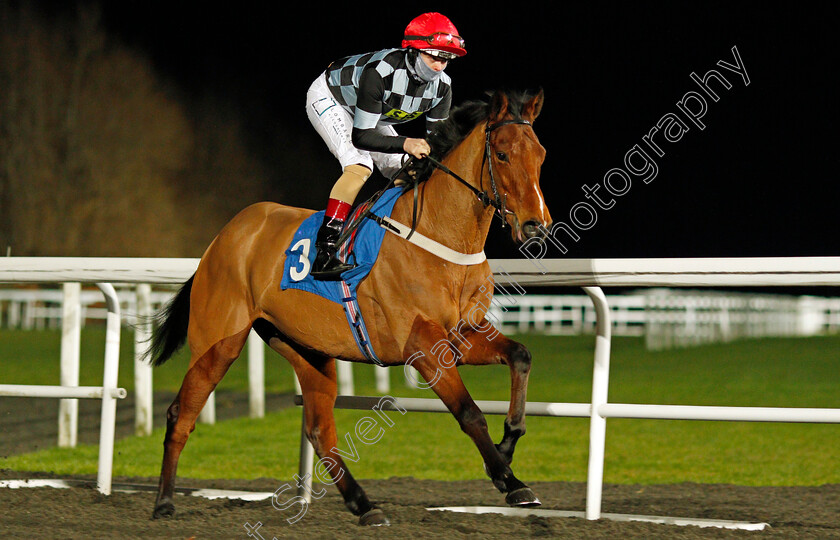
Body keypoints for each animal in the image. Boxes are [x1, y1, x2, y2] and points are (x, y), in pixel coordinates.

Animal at [148, 89, 556, 528]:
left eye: (541, 154)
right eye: (501, 154)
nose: (535, 225)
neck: (440, 235)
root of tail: (225, 235)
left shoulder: (461, 336)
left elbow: (521, 355)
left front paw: (509, 442)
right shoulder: (423, 346)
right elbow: (469, 412)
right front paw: (509, 479)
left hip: (307, 350)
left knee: (319, 431)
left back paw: (364, 504)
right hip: (218, 342)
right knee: (181, 413)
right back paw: (164, 502)